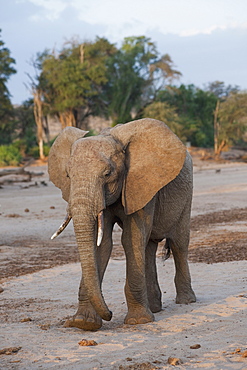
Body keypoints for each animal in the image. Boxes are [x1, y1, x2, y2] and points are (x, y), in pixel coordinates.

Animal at [48, 117, 196, 330]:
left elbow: (130, 238)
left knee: (179, 243)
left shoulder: (140, 183)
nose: (110, 313)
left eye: (107, 174)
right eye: (68, 175)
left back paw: (186, 301)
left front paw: (138, 322)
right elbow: (102, 244)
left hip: (187, 193)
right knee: (148, 246)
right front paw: (83, 323)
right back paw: (155, 308)